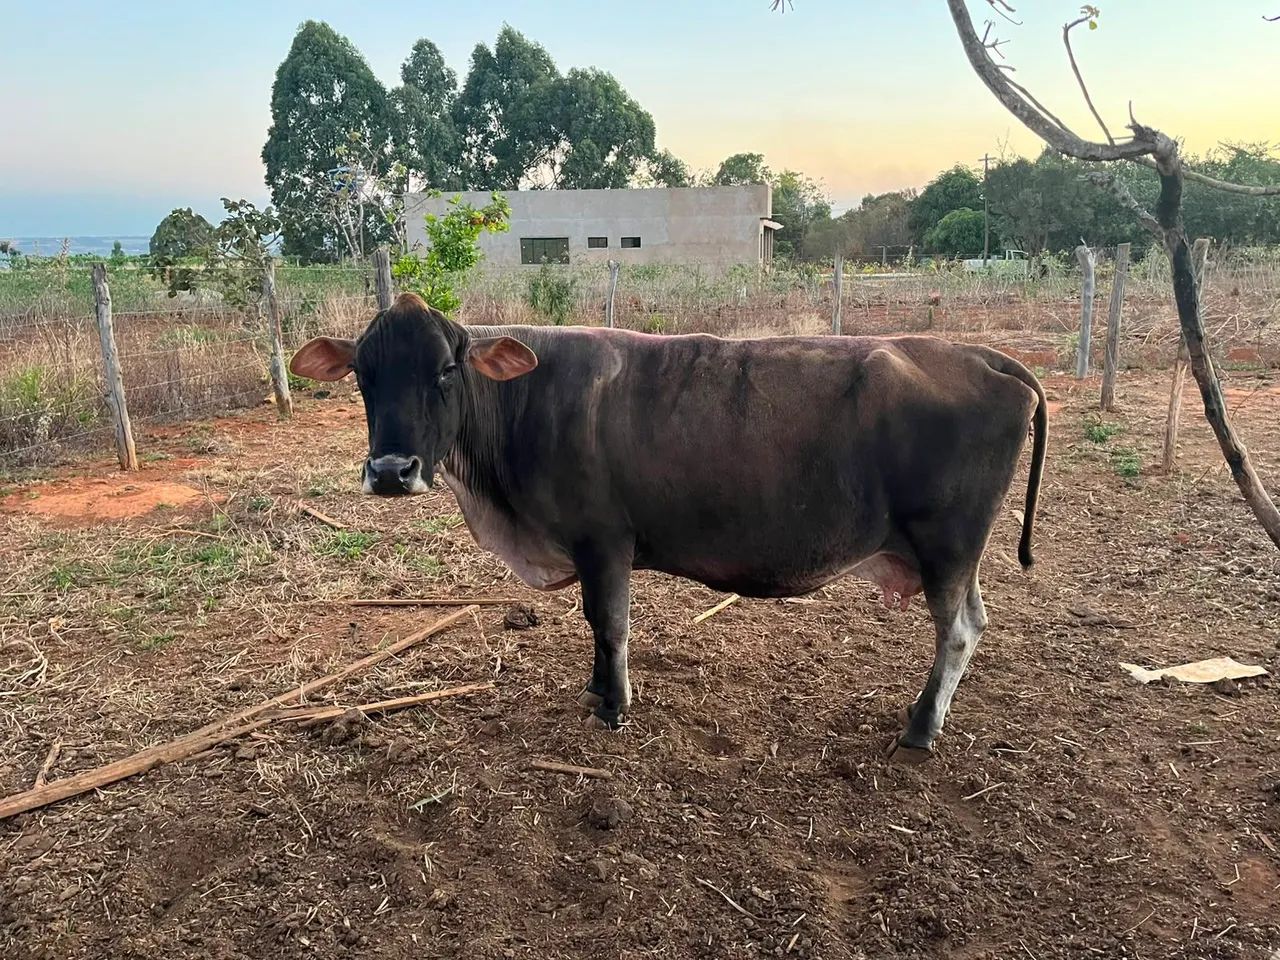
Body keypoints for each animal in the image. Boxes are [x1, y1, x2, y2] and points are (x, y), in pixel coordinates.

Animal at [290, 293, 1046, 762]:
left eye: (447, 369)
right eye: (362, 374)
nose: (391, 470)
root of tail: (985, 357)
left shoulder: (604, 539)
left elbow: (609, 622)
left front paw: (615, 705)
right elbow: (596, 623)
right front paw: (597, 691)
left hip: (948, 544)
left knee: (957, 630)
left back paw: (920, 728)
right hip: (951, 553)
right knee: (973, 622)